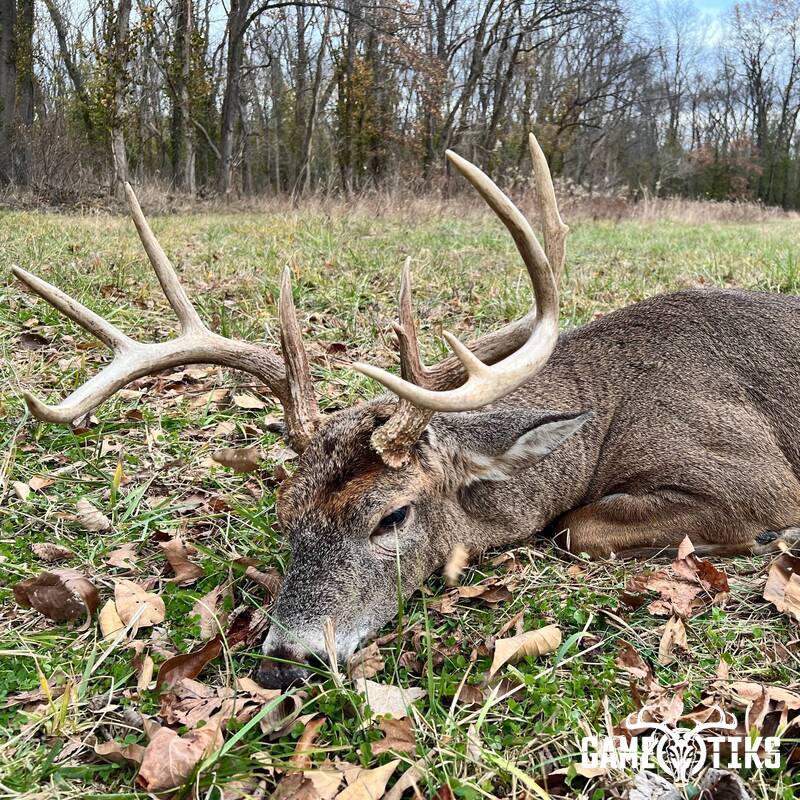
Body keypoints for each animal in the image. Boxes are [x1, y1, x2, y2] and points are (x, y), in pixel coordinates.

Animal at [10, 133, 800, 689]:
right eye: (285, 514)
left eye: (391, 517)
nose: (283, 659)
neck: (604, 411)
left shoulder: (754, 472)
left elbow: (575, 528)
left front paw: (765, 539)